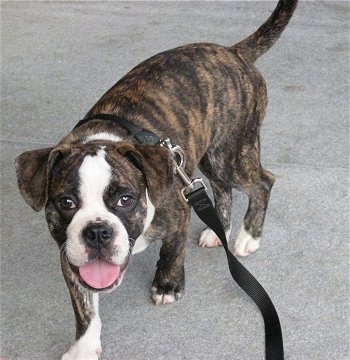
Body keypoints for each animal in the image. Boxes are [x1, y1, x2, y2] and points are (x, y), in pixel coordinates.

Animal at [15, 1, 298, 358]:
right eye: (66, 202)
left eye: (126, 199)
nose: (97, 232)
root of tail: (233, 53)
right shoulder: (71, 256)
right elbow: (84, 306)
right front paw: (84, 345)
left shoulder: (178, 209)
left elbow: (173, 250)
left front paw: (167, 284)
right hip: (207, 156)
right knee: (222, 188)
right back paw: (218, 229)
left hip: (231, 153)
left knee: (262, 182)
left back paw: (248, 236)